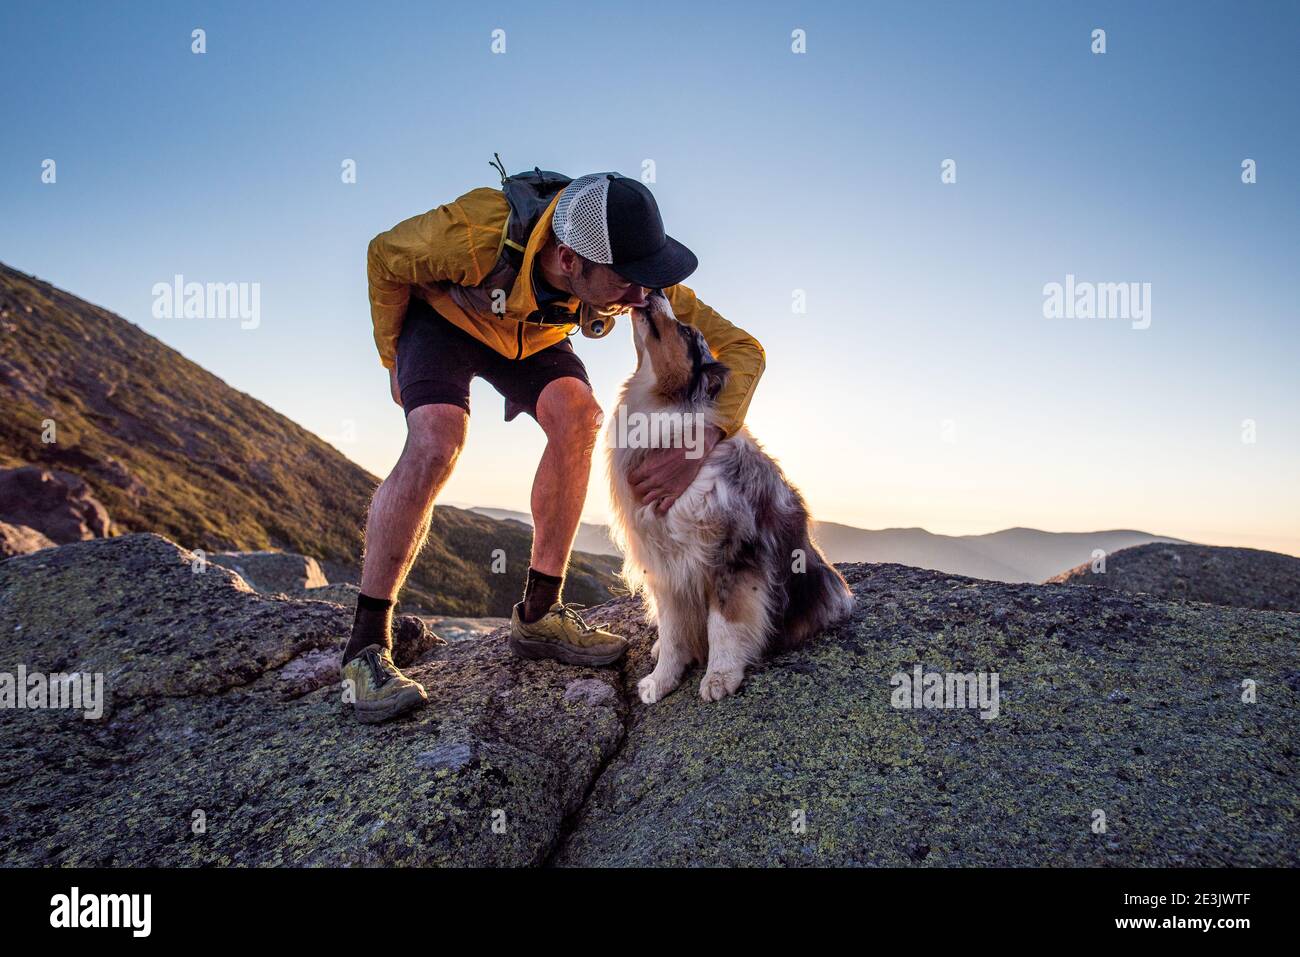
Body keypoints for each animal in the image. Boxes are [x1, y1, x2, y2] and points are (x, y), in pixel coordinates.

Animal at [605, 289, 857, 702]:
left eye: (687, 332)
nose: (656, 291)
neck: (662, 408)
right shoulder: (666, 564)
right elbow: (672, 633)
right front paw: (661, 680)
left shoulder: (733, 554)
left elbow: (723, 622)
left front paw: (720, 677)